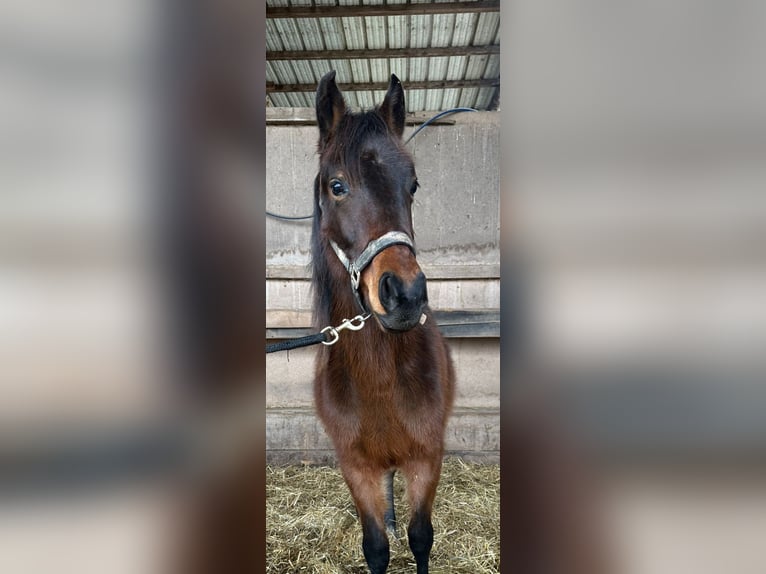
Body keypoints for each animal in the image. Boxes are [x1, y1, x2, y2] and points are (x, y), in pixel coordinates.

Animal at [310, 73, 456, 574]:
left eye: (412, 185)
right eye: (337, 185)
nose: (405, 295)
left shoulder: (427, 458)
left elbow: (420, 537)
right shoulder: (356, 467)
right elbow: (375, 546)